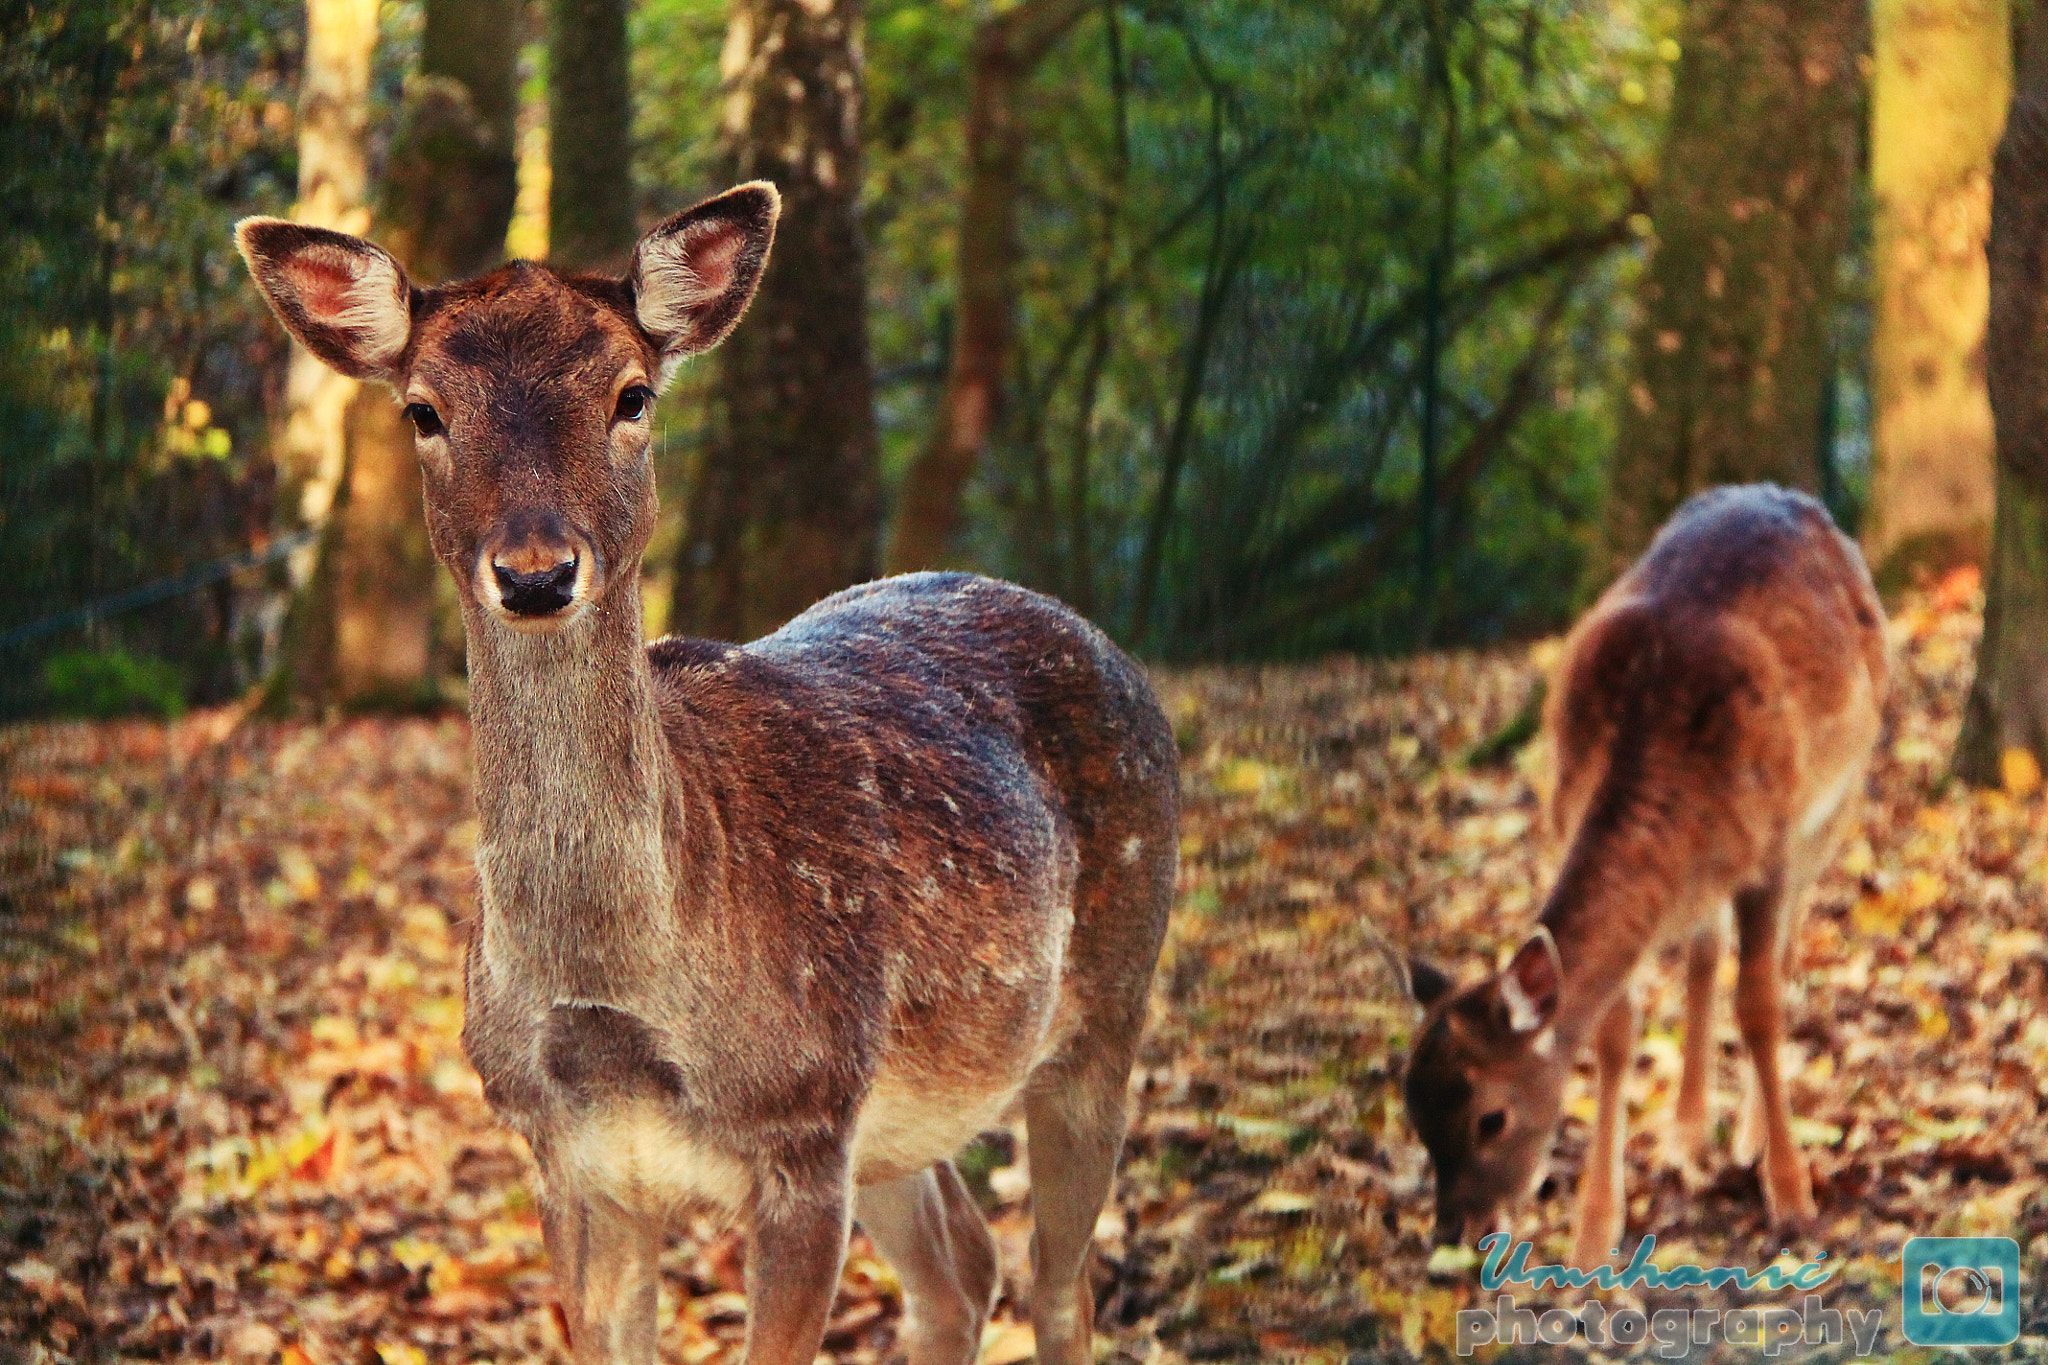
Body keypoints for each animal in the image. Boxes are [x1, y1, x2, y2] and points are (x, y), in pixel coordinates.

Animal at [234, 183, 1178, 1365]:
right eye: (423, 410)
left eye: (632, 394)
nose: (535, 572)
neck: (617, 999)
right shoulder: (563, 1153)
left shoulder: (803, 1123)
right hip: (902, 1114)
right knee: (964, 1266)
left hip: (1109, 1004)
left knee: (1059, 1284)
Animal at [1401, 484, 1887, 1271]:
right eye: (1413, 1114)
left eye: (1490, 1117)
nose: (1454, 1229)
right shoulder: (1565, 818)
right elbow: (1614, 1031)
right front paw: (1594, 1231)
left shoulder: (1770, 852)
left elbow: (1759, 1006)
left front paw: (1792, 1194)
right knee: (1703, 954)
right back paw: (1686, 1133)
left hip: (1837, 799)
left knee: (1782, 953)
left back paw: (1747, 1135)